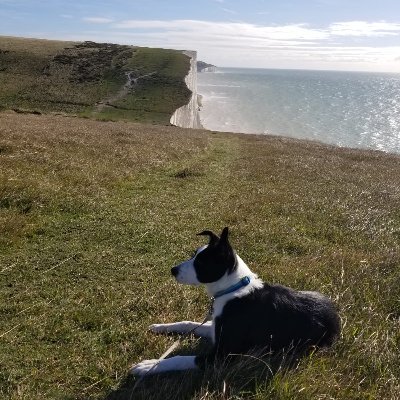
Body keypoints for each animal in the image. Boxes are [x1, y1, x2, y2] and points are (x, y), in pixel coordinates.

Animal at [132, 228, 340, 376]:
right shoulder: (215, 328)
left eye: (200, 262)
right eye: (193, 255)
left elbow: (181, 358)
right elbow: (188, 323)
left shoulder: (223, 355)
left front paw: (149, 366)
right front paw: (161, 326)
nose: (173, 270)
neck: (232, 289)